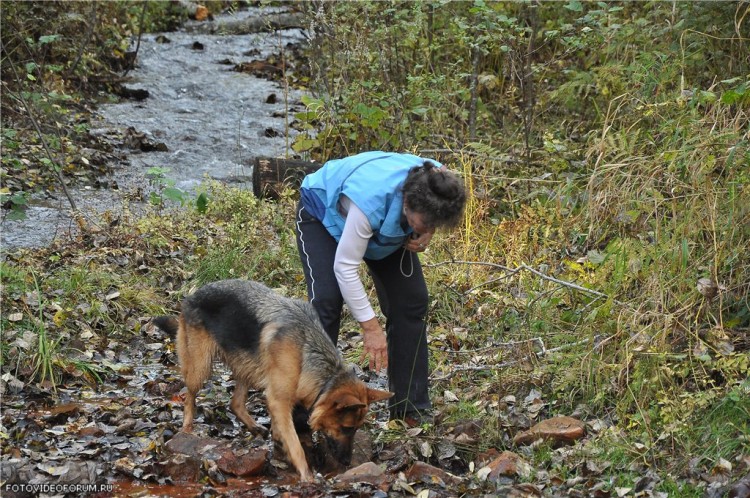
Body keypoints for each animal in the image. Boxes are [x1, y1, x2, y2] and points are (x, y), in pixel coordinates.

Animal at [156, 278, 396, 480]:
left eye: (356, 429)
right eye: (347, 428)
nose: (347, 462)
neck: (307, 351)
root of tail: (193, 295)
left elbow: (283, 433)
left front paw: (281, 448)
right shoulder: (279, 401)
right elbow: (295, 444)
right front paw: (307, 476)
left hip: (249, 367)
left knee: (235, 403)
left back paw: (254, 427)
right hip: (200, 368)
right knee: (189, 396)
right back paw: (187, 429)